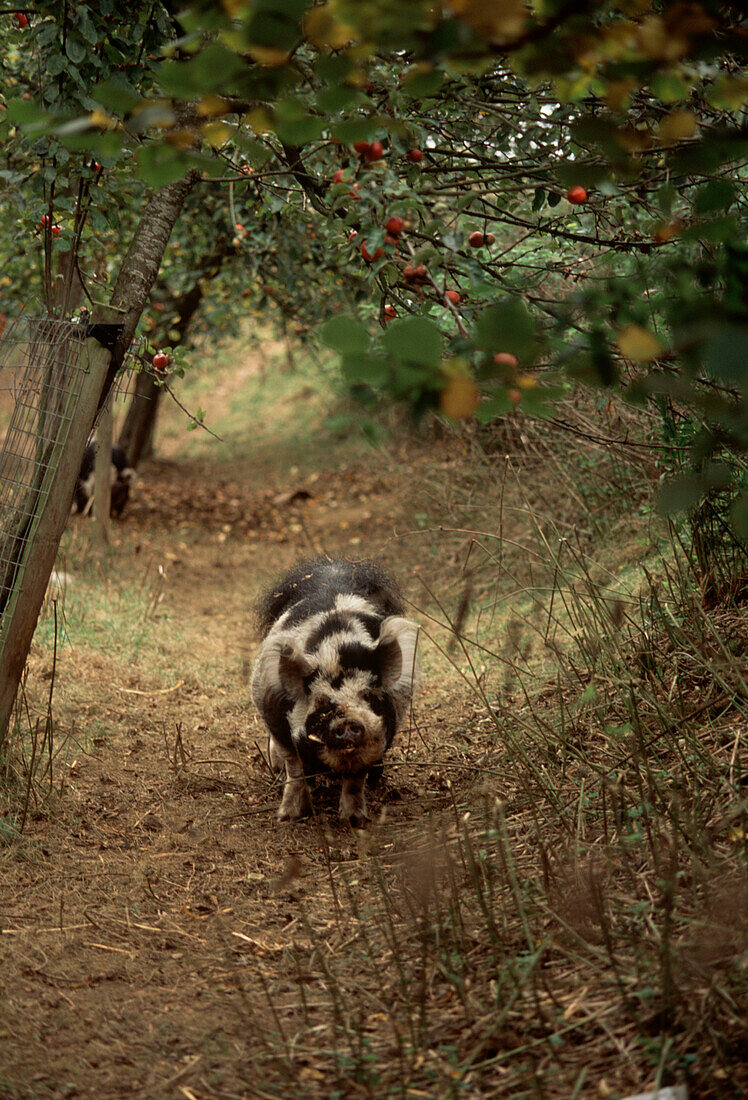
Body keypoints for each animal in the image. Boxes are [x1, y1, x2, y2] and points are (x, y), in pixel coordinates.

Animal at [253, 558, 420, 827]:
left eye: (368, 695)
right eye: (321, 702)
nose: (348, 721)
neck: (335, 653)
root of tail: (332, 570)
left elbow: (355, 779)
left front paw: (354, 821)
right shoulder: (272, 713)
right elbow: (294, 769)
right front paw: (287, 817)